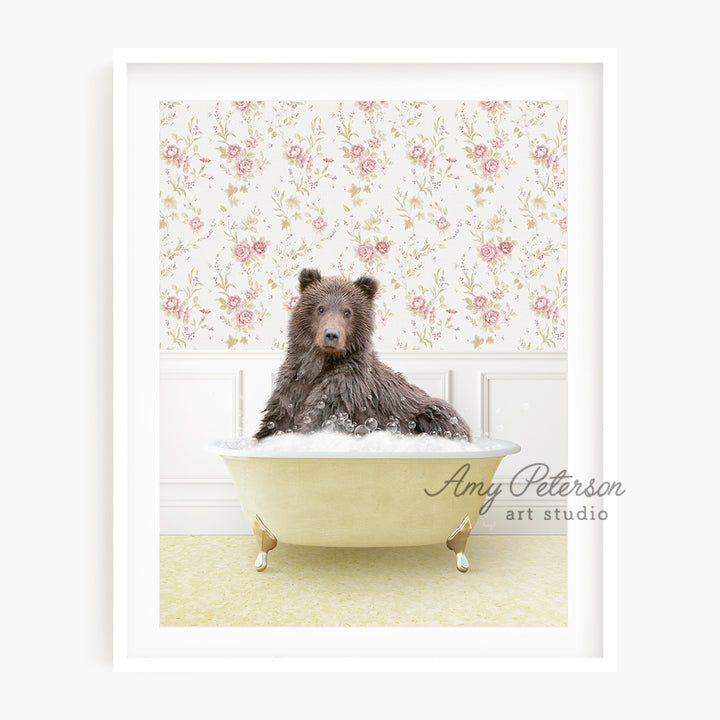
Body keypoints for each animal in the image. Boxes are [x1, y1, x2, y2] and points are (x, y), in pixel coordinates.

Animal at [253, 268, 472, 438]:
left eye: (347, 312)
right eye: (320, 308)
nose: (331, 335)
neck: (320, 365)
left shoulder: (344, 391)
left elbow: (319, 419)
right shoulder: (292, 387)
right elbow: (276, 422)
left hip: (430, 411)